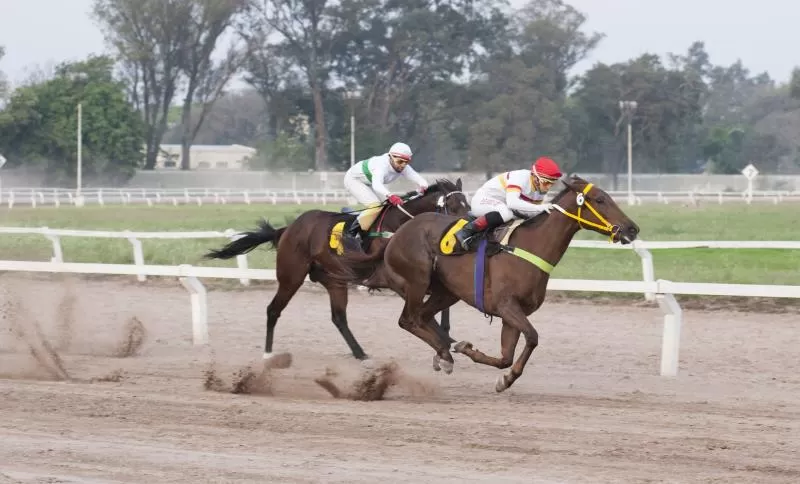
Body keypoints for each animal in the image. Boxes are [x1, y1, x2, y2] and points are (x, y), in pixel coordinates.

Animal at [203, 178, 472, 360]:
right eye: (452, 206)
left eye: (467, 204)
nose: (465, 229)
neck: (400, 226)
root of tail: (287, 229)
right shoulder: (398, 281)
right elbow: (423, 313)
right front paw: (447, 341)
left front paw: (449, 338)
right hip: (292, 276)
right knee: (273, 310)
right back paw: (268, 354)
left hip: (334, 280)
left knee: (338, 317)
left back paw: (360, 353)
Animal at [336, 176, 636, 392]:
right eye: (600, 199)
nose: (632, 229)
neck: (529, 247)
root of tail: (397, 233)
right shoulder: (506, 306)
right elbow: (533, 337)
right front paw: (485, 364)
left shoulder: (512, 313)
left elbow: (506, 356)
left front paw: (500, 375)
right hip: (417, 279)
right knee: (408, 320)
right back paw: (444, 354)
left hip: (446, 291)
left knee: (422, 317)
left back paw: (444, 352)